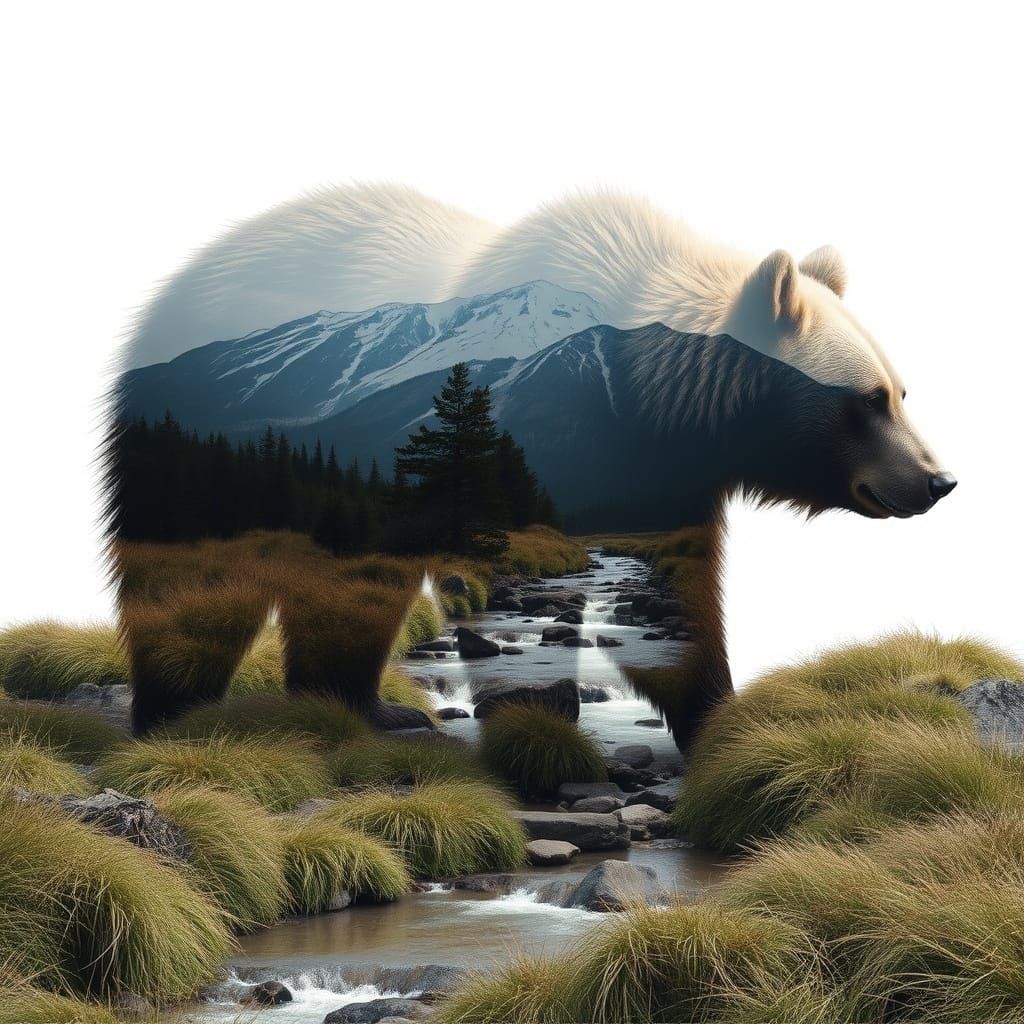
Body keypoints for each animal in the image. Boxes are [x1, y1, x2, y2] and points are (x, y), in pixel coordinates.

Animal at [109, 185, 955, 746]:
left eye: (901, 390)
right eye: (868, 399)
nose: (938, 480)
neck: (662, 403)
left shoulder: (674, 478)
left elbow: (683, 603)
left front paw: (719, 717)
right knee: (194, 600)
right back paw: (180, 712)